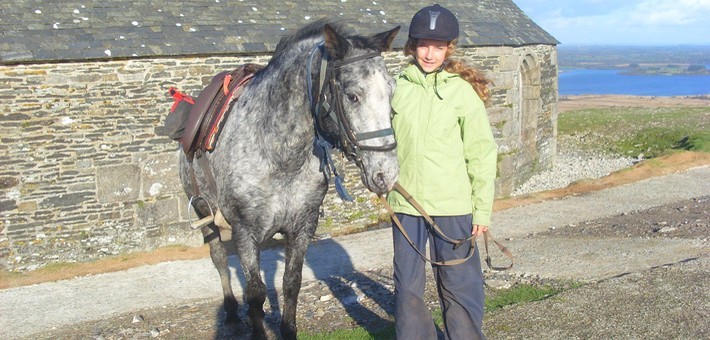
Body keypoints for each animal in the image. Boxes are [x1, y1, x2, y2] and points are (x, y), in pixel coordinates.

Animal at [178, 19, 400, 338]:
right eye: (352, 95)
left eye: (391, 91)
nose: (386, 173)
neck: (279, 155)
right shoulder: (245, 232)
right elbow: (255, 293)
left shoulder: (302, 227)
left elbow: (290, 285)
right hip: (203, 211)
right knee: (219, 258)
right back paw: (231, 310)